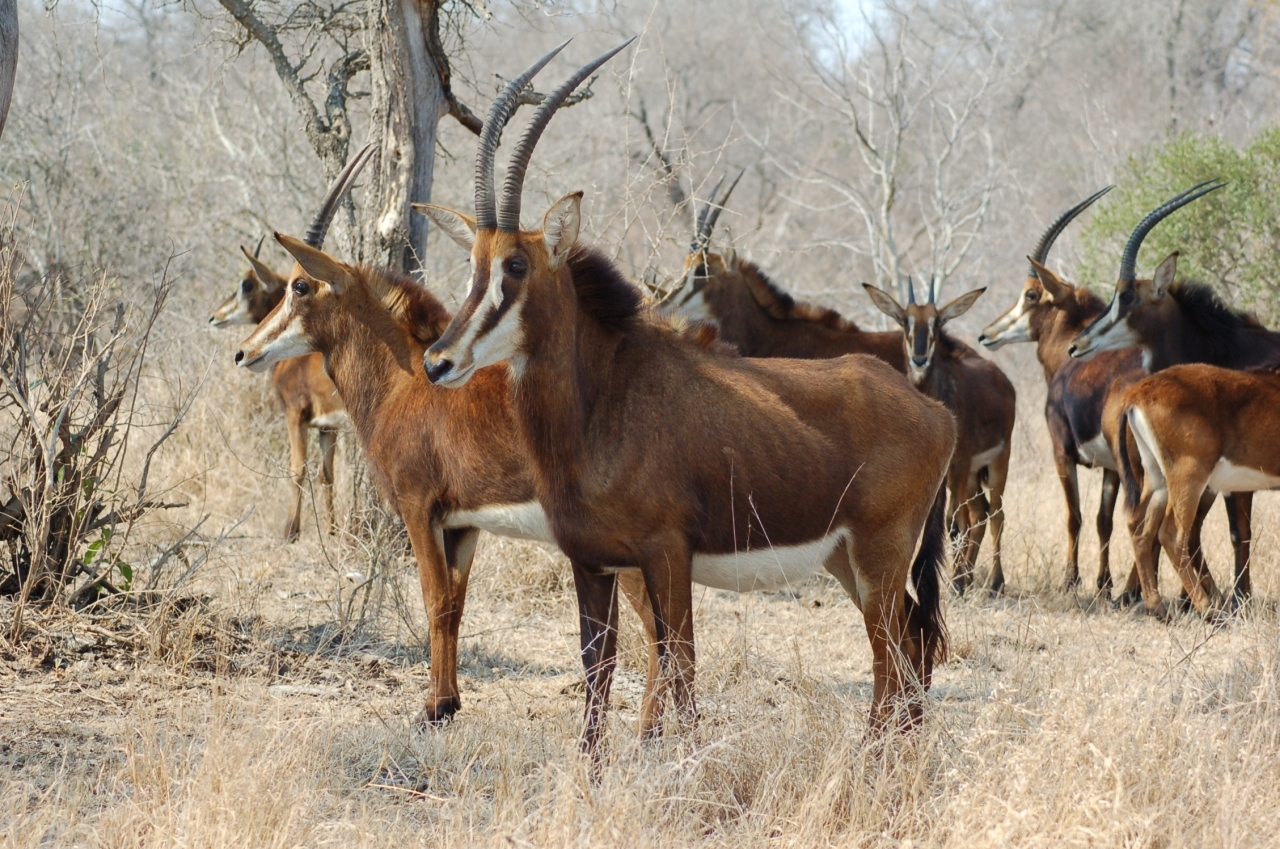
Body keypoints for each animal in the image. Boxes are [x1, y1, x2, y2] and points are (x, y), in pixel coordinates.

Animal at [203, 149, 371, 540]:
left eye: (247, 284)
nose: (214, 317)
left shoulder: (296, 415)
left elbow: (297, 470)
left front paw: (290, 531)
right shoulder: (328, 426)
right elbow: (327, 475)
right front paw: (332, 531)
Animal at [865, 280, 1013, 596]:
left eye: (937, 322)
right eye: (905, 320)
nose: (919, 359)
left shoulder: (958, 465)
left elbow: (954, 523)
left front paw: (954, 584)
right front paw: (953, 581)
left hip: (996, 463)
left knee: (995, 515)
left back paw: (995, 583)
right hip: (972, 476)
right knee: (979, 515)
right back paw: (968, 576)